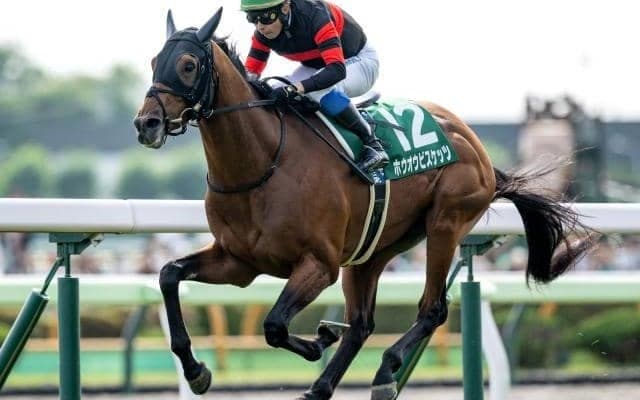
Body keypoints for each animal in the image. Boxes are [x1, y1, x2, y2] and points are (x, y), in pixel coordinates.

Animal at [133, 8, 595, 400]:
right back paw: (321, 387)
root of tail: (474, 143)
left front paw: (319, 338)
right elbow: (170, 275)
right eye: (154, 60)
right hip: (373, 249)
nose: (146, 124)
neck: (262, 164)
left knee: (432, 309)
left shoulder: (319, 264)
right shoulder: (239, 262)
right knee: (361, 324)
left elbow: (275, 325)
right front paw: (197, 371)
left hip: (445, 223)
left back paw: (384, 373)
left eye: (188, 65)